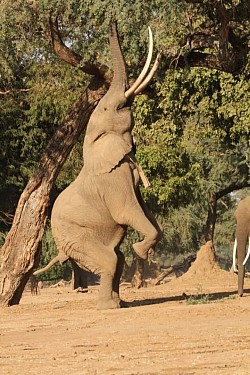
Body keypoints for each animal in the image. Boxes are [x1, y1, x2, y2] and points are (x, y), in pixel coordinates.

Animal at [49, 24, 163, 312]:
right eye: (111, 108)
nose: (113, 22)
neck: (92, 143)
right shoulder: (113, 180)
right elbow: (128, 211)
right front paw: (141, 250)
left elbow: (144, 209)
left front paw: (143, 249)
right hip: (75, 236)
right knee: (110, 260)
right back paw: (108, 307)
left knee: (116, 258)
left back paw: (118, 303)